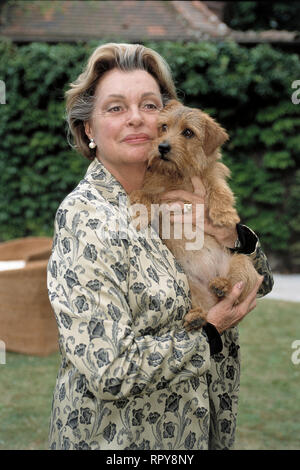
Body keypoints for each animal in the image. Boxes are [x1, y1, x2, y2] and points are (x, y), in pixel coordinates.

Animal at [130, 100, 262, 328]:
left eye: (188, 132)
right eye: (163, 127)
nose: (162, 147)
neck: (178, 174)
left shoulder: (213, 175)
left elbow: (219, 188)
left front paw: (224, 214)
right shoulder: (156, 189)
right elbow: (148, 194)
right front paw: (142, 208)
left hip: (242, 263)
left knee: (236, 290)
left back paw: (222, 285)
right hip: (190, 285)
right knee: (205, 310)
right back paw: (196, 317)